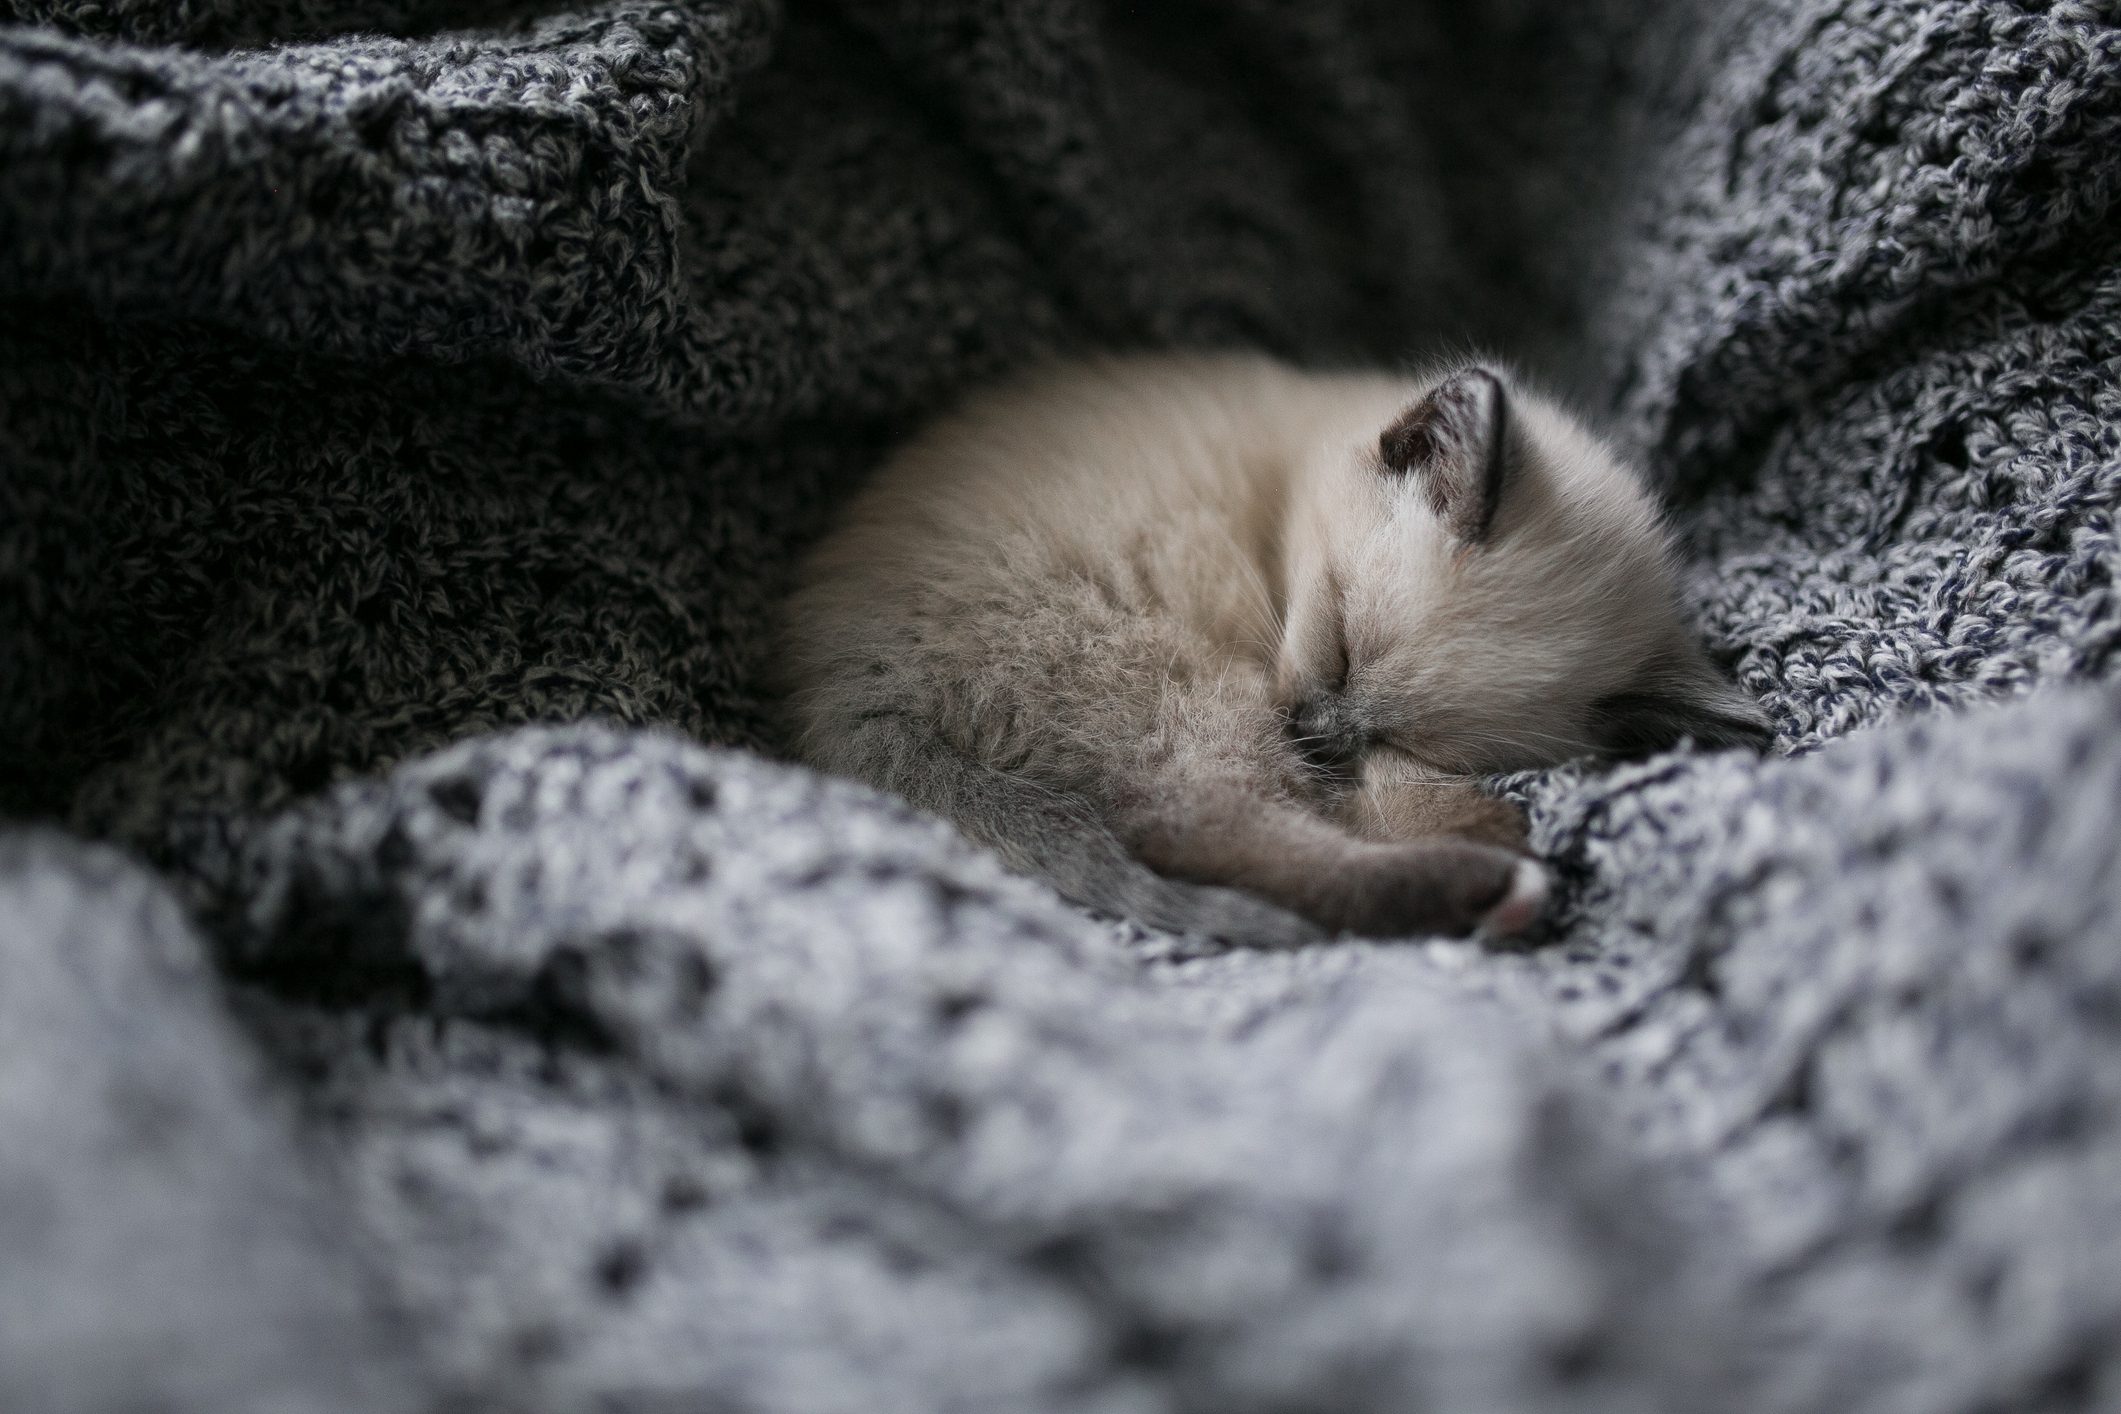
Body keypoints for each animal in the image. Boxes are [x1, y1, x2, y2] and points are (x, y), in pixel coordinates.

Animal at [772, 354, 1764, 949]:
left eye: (1399, 732)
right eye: (1337, 645)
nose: (1316, 735)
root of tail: (858, 692)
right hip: (1185, 680)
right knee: (1193, 823)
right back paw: (1496, 881)